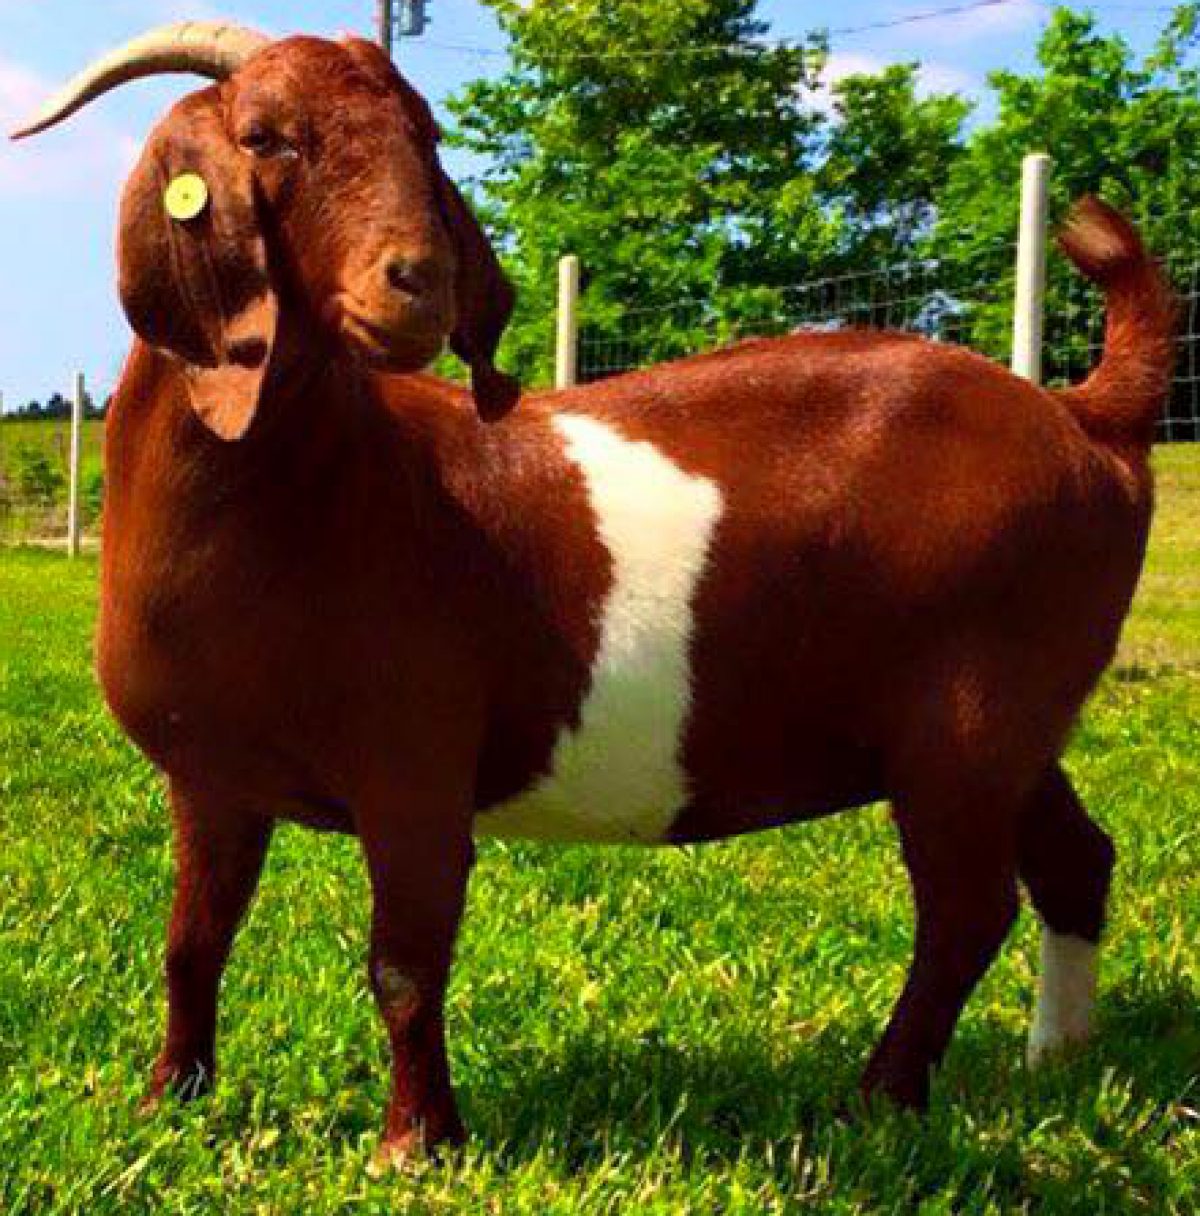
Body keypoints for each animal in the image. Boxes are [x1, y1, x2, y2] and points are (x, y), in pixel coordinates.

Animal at [14, 22, 1176, 1162]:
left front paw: (416, 1143)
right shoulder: (211, 776)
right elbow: (192, 941)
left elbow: (405, 962)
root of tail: (1087, 417)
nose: (420, 278)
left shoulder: (414, 762)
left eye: (425, 136)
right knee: (1075, 859)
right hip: (1012, 722)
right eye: (266, 136)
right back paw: (1056, 1057)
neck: (328, 477)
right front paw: (168, 1103)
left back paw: (878, 1101)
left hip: (969, 716)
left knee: (965, 908)